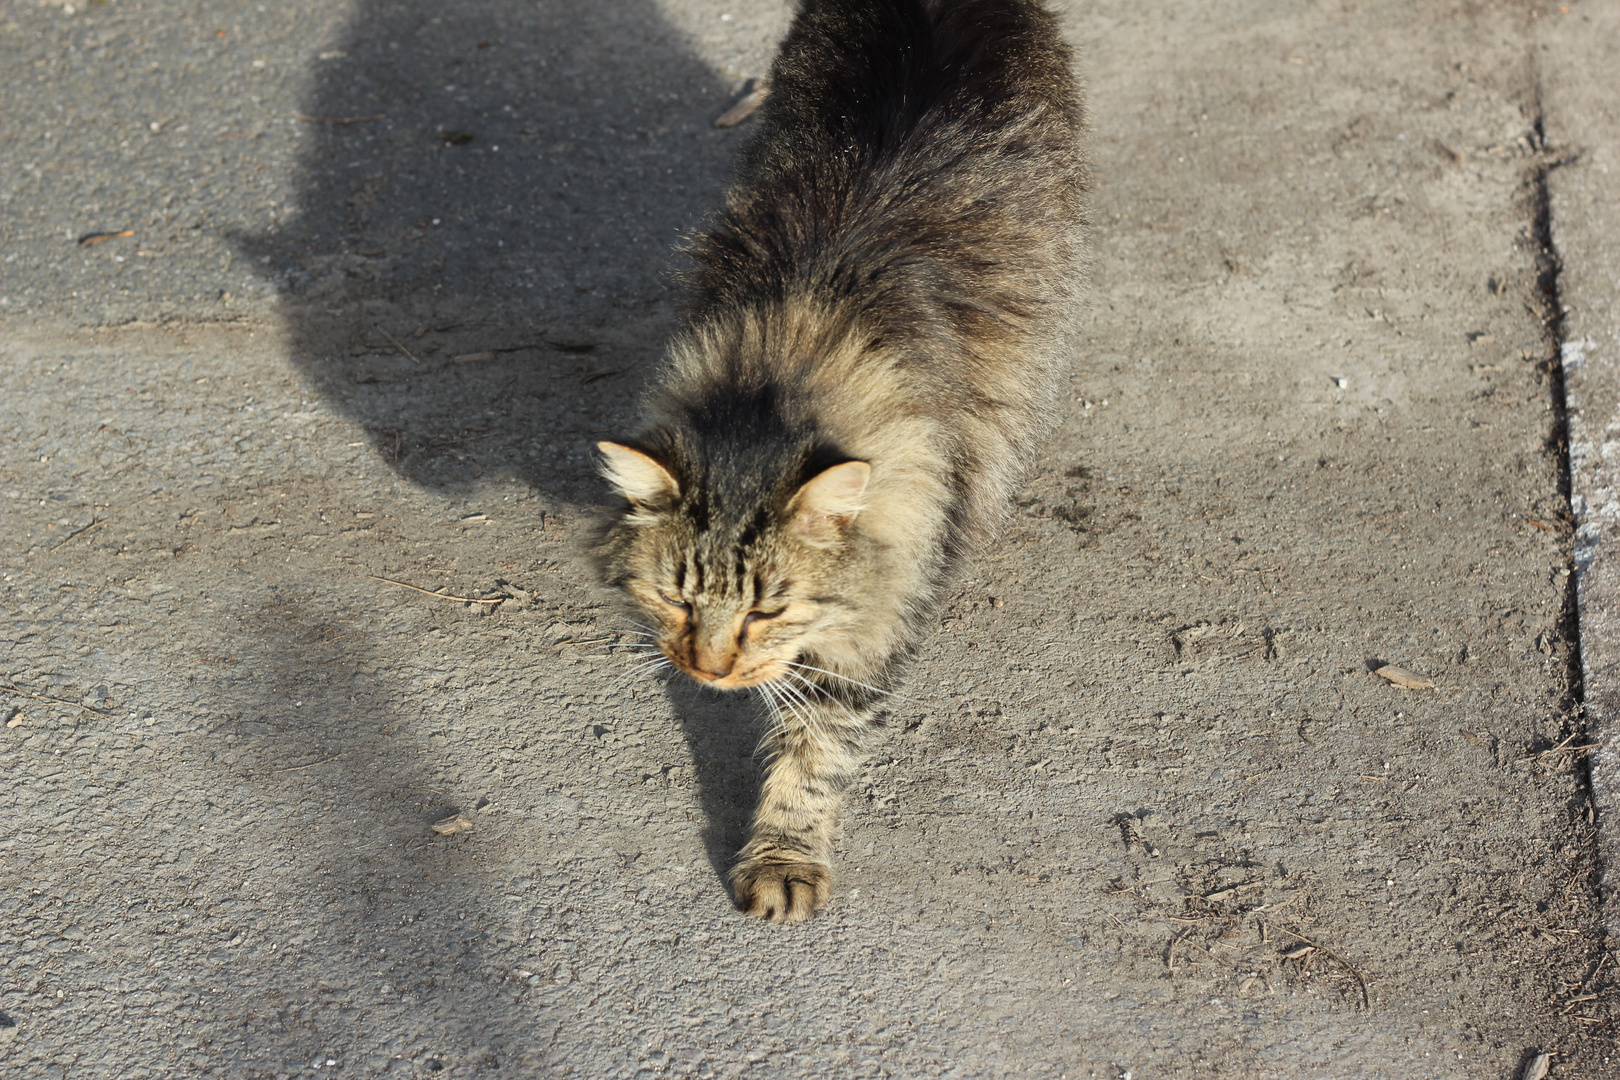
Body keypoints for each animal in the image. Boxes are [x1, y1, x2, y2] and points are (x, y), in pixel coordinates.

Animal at [589, 0, 1082, 926]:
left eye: (768, 612)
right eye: (677, 599)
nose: (708, 672)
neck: (801, 333)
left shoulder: (879, 605)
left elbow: (815, 746)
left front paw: (784, 854)